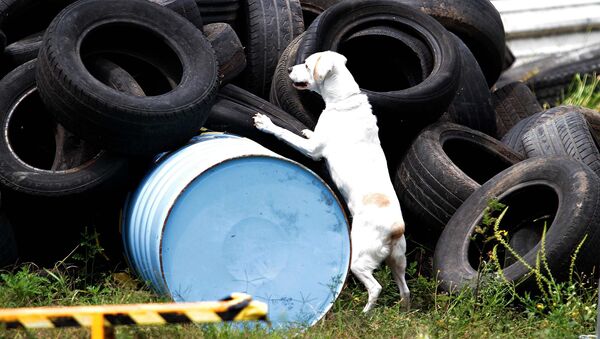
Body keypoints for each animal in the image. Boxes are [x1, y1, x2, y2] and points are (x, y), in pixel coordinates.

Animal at [251, 50, 410, 314]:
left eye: (306, 65)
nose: (289, 70)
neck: (344, 100)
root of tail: (396, 228)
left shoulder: (313, 151)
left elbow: (285, 133)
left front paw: (266, 124)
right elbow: (308, 133)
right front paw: (307, 130)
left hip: (359, 260)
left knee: (375, 288)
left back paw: (364, 315)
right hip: (398, 261)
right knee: (405, 290)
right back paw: (403, 312)